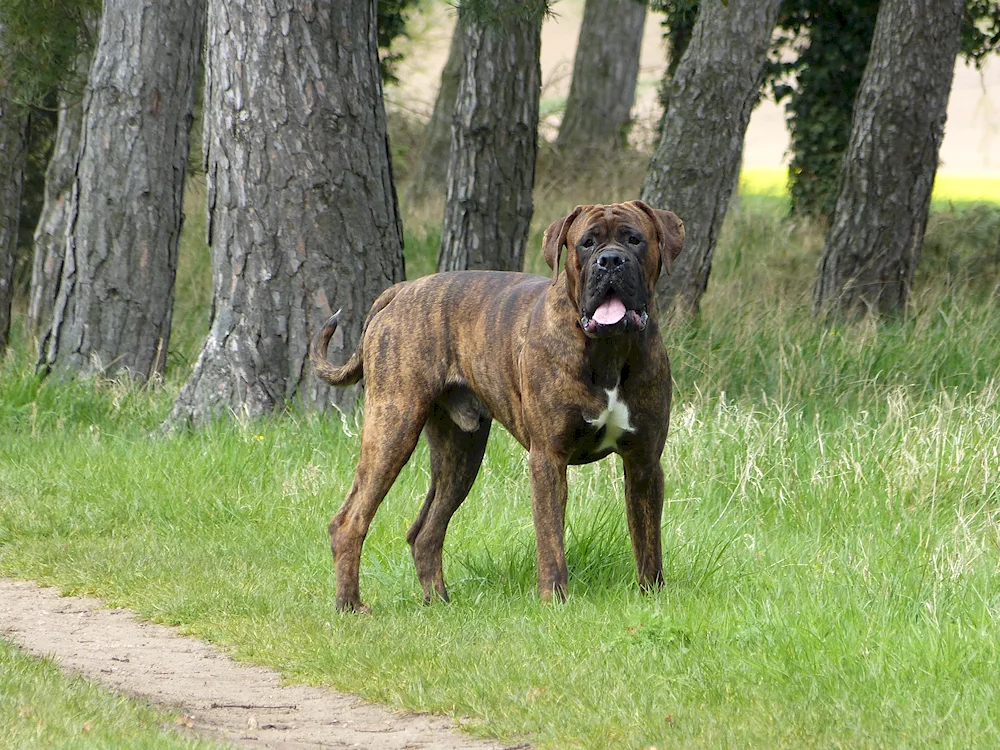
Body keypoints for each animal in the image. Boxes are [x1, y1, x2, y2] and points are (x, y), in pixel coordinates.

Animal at [312, 200, 688, 612]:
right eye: (586, 244)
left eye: (634, 240)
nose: (610, 261)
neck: (610, 349)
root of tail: (401, 290)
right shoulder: (548, 459)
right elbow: (551, 541)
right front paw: (554, 601)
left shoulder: (644, 462)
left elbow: (648, 541)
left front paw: (653, 596)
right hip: (392, 427)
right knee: (350, 521)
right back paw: (350, 605)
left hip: (460, 452)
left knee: (426, 531)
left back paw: (439, 603)